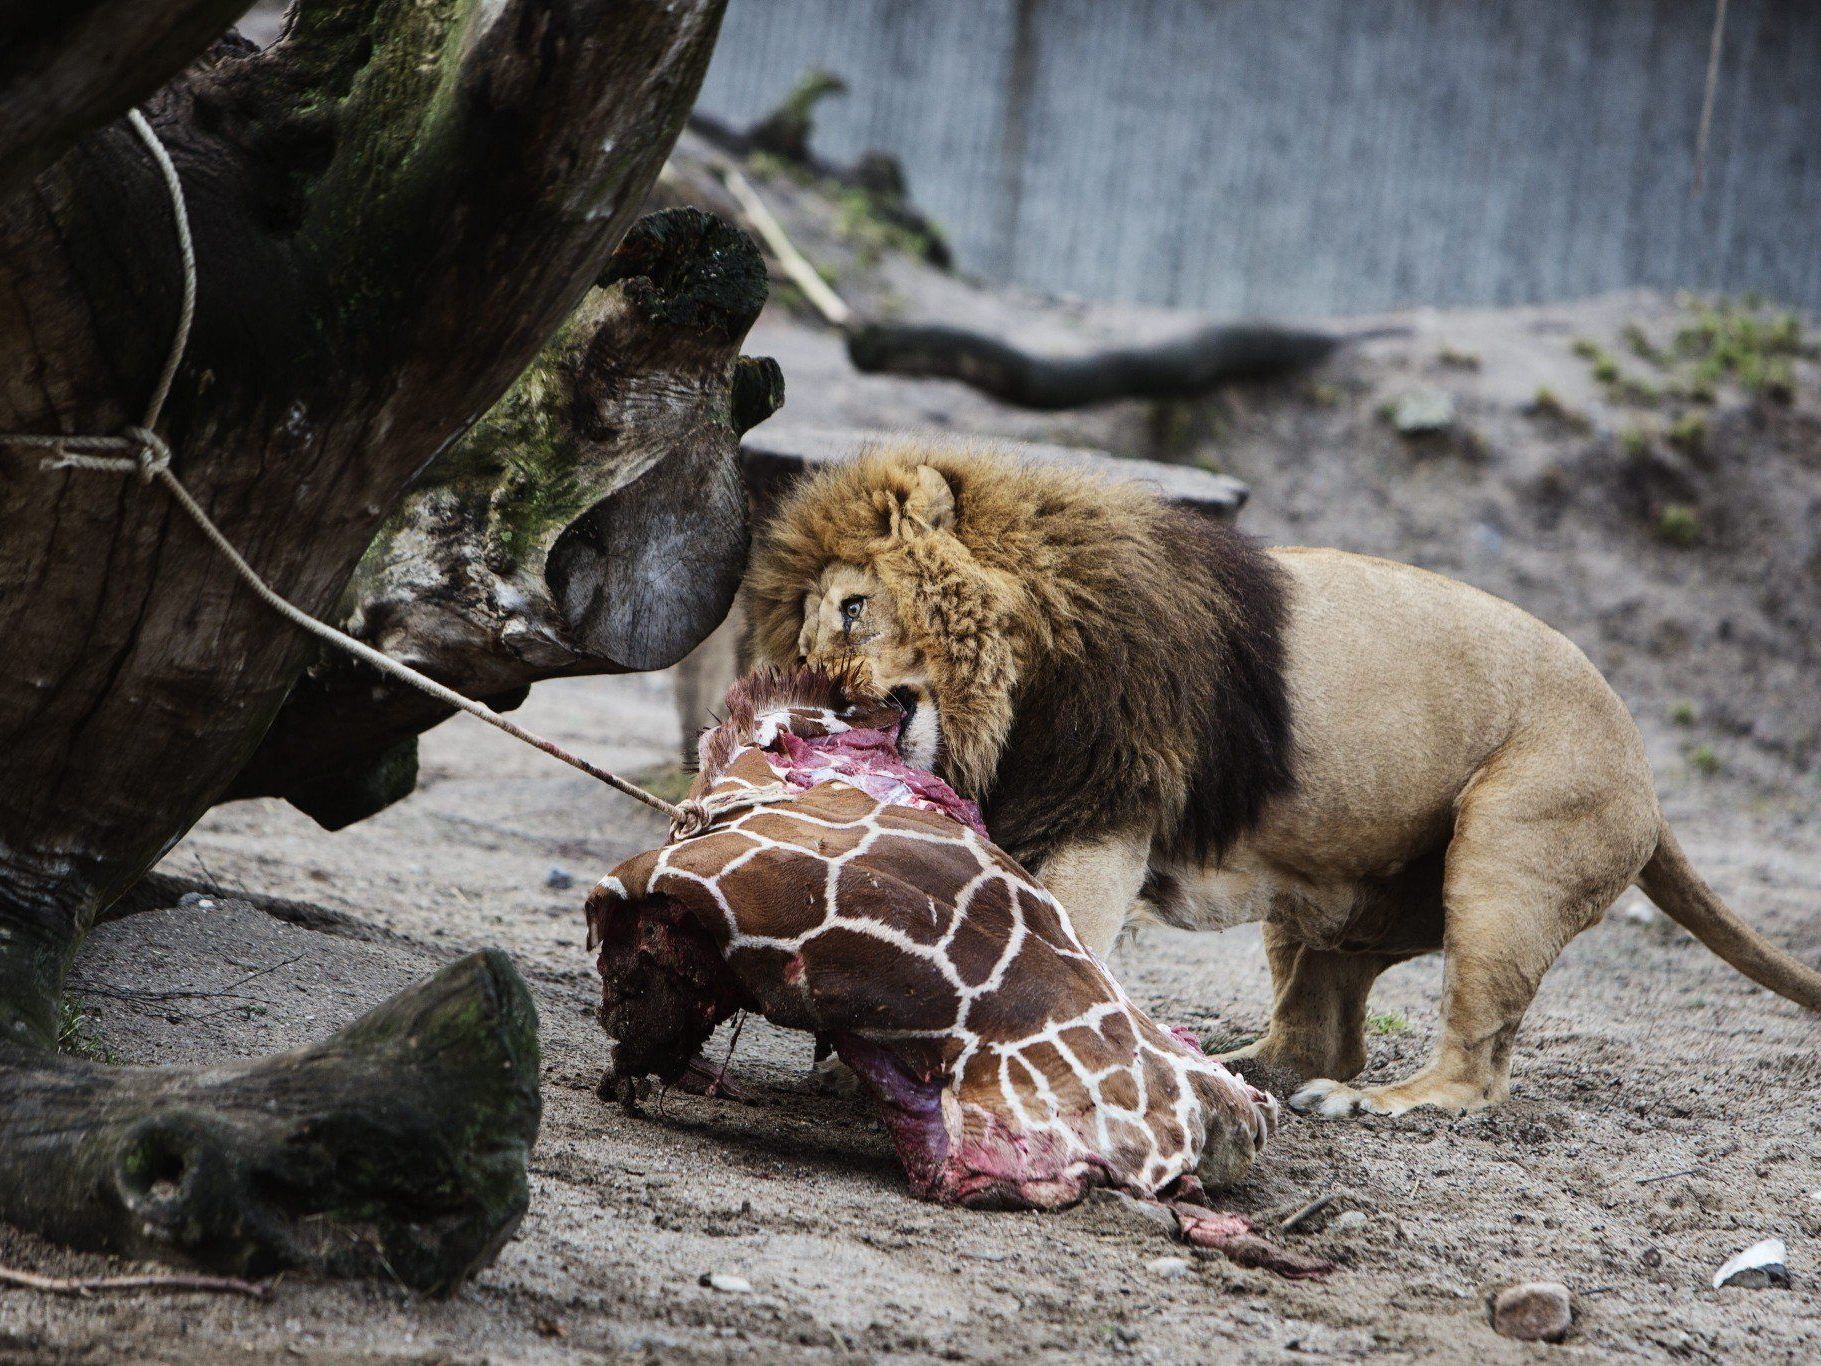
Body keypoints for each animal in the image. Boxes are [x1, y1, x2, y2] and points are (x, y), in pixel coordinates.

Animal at [739, 444, 1821, 1114]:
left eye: (849, 610)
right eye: (801, 640)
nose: (816, 700)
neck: (1016, 679)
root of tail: (1645, 766)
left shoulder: (1105, 811)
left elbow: (1058, 937)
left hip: (1510, 856)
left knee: (1472, 1067)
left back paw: (1371, 1102)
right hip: (1329, 897)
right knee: (1318, 1032)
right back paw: (1234, 1068)